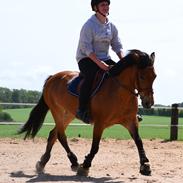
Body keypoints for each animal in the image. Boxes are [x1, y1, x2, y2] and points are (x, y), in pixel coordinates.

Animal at [18, 49, 156, 177]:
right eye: (142, 76)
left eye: (154, 76)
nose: (149, 102)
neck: (119, 91)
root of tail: (52, 78)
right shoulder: (100, 123)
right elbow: (95, 146)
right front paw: (85, 166)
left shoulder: (131, 121)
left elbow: (138, 141)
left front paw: (145, 165)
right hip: (57, 111)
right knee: (61, 136)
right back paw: (74, 161)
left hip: (69, 114)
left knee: (53, 134)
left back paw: (42, 163)